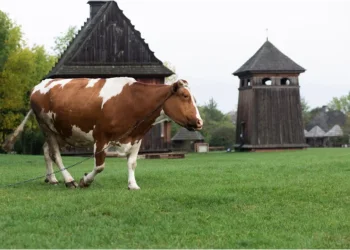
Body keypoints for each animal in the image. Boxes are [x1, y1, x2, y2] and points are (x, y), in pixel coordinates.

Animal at [3, 77, 202, 188]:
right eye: (185, 96)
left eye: (194, 97)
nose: (200, 122)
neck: (131, 100)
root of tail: (39, 86)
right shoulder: (100, 136)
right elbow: (100, 166)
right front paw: (85, 180)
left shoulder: (136, 137)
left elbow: (132, 163)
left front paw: (133, 185)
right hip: (47, 127)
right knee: (55, 154)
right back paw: (69, 180)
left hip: (62, 131)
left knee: (46, 151)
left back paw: (51, 179)